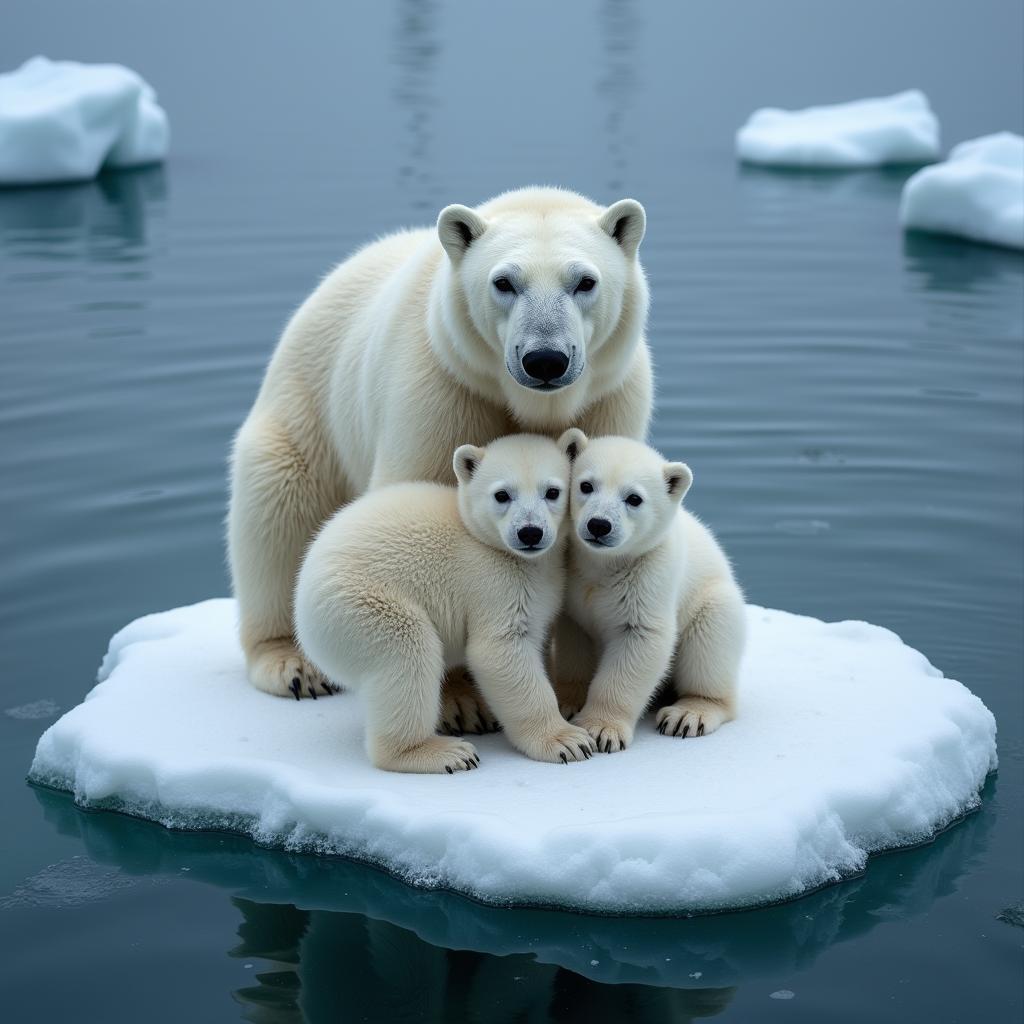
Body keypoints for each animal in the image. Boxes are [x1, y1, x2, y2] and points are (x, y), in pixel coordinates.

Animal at [228, 188, 651, 708]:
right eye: (504, 282)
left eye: (585, 281)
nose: (545, 360)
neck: (532, 402)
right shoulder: (445, 387)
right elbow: (421, 508)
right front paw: (461, 703)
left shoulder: (608, 397)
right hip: (305, 411)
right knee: (278, 512)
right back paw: (290, 663)